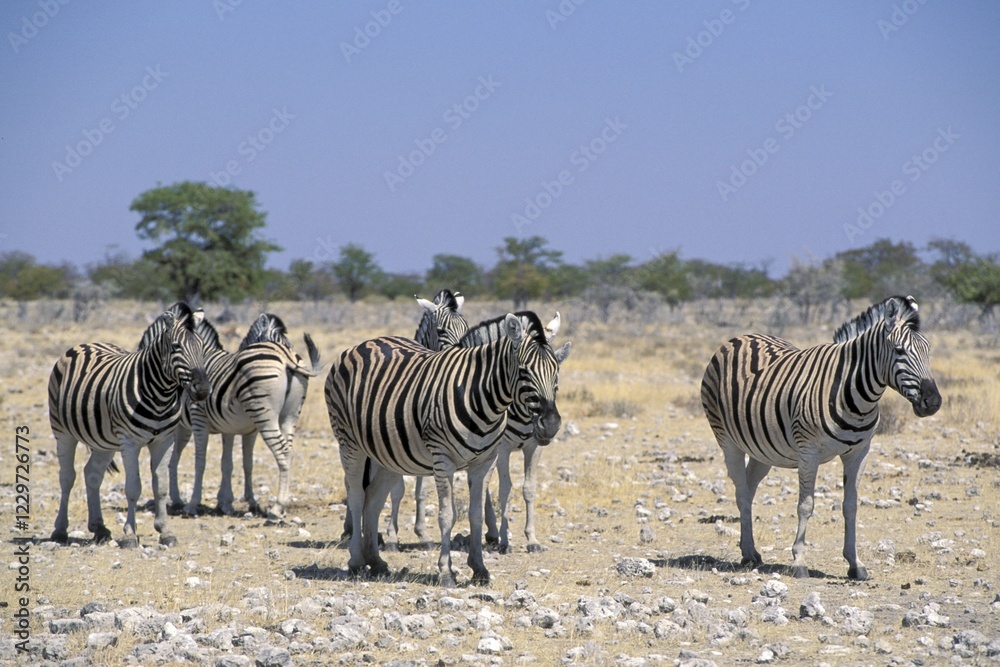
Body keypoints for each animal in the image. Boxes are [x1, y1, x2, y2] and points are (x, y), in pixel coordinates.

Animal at [48, 303, 212, 548]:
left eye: (201, 347)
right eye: (176, 347)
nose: (202, 390)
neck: (160, 395)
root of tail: (84, 344)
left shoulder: (164, 441)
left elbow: (161, 487)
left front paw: (165, 531)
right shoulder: (130, 442)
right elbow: (134, 488)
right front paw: (129, 535)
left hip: (103, 441)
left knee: (92, 474)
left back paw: (99, 528)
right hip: (62, 431)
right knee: (67, 478)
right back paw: (60, 530)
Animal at [168, 312, 321, 517]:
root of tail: (286, 357)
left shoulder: (200, 418)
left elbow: (201, 461)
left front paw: (194, 504)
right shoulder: (236, 428)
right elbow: (235, 463)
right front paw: (230, 503)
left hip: (263, 418)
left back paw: (277, 507)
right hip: (289, 416)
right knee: (288, 451)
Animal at [326, 313, 563, 586]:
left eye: (556, 372)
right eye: (524, 371)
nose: (551, 424)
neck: (482, 397)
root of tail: (364, 343)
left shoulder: (485, 461)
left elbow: (476, 514)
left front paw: (480, 568)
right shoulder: (443, 459)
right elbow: (447, 515)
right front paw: (446, 571)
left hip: (389, 453)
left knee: (372, 500)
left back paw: (376, 562)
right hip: (349, 442)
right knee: (356, 496)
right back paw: (356, 561)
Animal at [700, 295, 941, 580]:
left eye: (928, 351)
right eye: (899, 351)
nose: (933, 402)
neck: (856, 394)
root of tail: (740, 337)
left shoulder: (860, 452)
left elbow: (851, 505)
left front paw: (855, 563)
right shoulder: (808, 451)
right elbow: (806, 505)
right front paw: (800, 561)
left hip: (763, 448)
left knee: (748, 488)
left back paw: (749, 550)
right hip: (728, 441)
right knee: (741, 492)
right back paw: (748, 553)